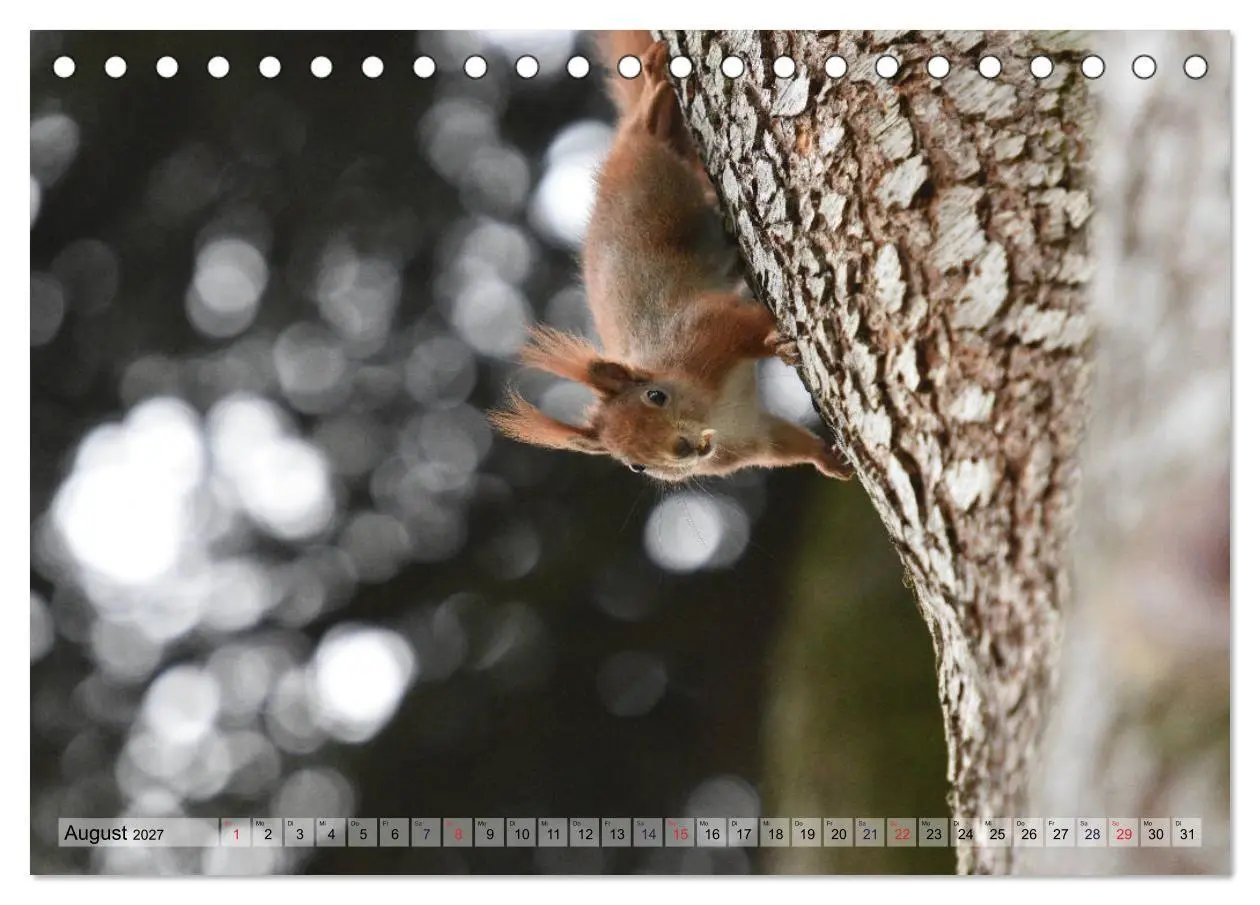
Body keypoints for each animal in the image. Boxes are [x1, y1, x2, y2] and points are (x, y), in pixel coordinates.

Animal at [489, 31, 853, 483]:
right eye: (636, 465)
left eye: (656, 396)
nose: (681, 449)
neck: (712, 410)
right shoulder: (749, 437)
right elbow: (782, 443)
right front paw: (828, 459)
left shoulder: (706, 328)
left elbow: (746, 322)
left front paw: (775, 342)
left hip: (650, 171)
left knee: (648, 127)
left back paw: (655, 82)